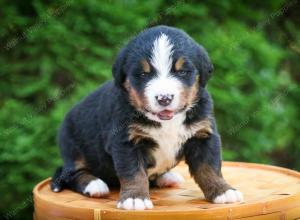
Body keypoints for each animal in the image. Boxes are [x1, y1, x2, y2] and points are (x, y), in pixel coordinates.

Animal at [51, 24, 244, 209]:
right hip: (73, 146)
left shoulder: (202, 134)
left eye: (182, 72)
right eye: (143, 74)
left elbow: (209, 167)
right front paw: (135, 198)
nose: (164, 98)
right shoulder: (126, 141)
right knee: (71, 173)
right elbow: (134, 173)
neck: (168, 122)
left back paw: (167, 177)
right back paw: (95, 184)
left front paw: (222, 191)